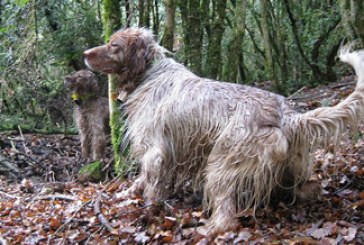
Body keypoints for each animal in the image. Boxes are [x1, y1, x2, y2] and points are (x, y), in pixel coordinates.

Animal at [84, 28, 364, 234]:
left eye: (114, 45)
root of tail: (287, 115)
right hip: (290, 167)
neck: (150, 73)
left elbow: (150, 184)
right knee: (309, 187)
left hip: (221, 161)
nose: (85, 54)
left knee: (227, 216)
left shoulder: (155, 150)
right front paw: (128, 194)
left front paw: (148, 210)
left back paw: (207, 230)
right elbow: (141, 180)